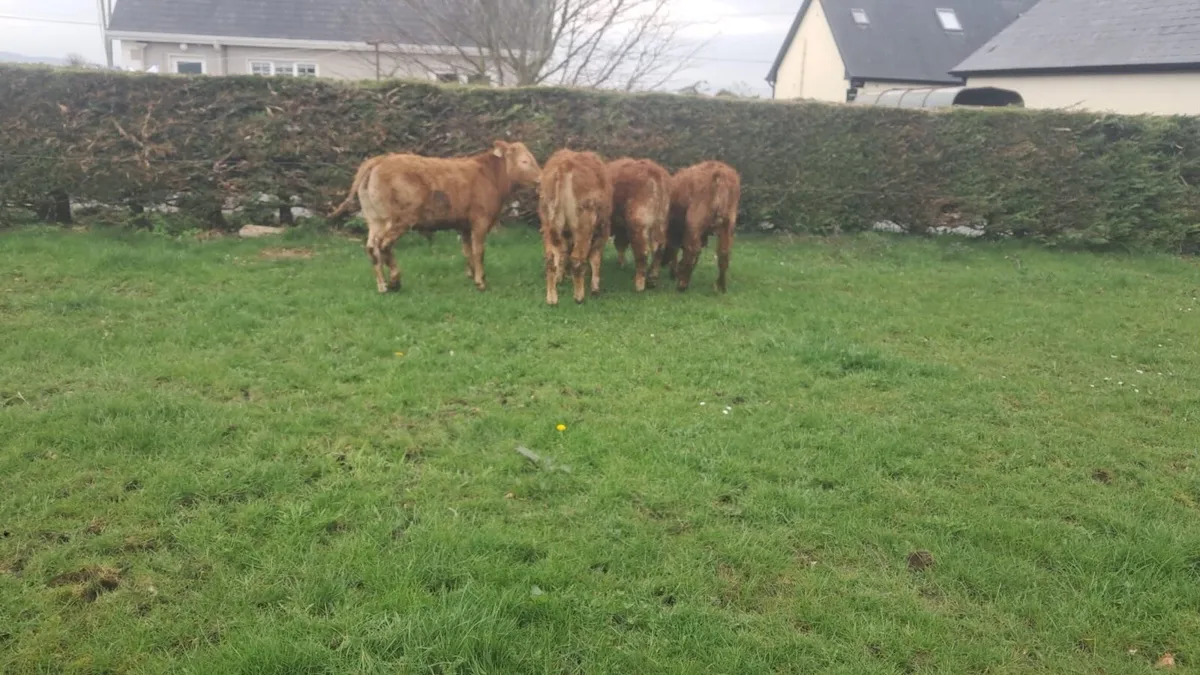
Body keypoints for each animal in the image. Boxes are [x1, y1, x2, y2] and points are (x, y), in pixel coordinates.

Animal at [329, 140, 541, 293]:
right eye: (524, 161)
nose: (540, 179)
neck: (489, 176)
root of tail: (380, 159)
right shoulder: (480, 221)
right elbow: (479, 250)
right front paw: (481, 281)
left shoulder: (464, 225)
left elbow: (467, 251)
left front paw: (472, 274)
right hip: (399, 220)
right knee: (384, 245)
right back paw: (395, 281)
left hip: (375, 220)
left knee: (372, 247)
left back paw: (382, 285)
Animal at [538, 149, 613, 305]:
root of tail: (565, 165)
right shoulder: (602, 231)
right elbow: (596, 257)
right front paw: (595, 288)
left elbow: (563, 253)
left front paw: (560, 277)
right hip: (584, 226)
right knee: (577, 259)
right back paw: (579, 296)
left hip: (548, 223)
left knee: (551, 258)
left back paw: (552, 298)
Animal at [607, 158, 671, 292]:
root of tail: (654, 171)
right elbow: (620, 244)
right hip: (660, 223)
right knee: (659, 249)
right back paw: (652, 279)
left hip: (638, 224)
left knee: (643, 252)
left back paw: (639, 284)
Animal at [662, 161, 741, 293]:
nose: (663, 263)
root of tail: (721, 173)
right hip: (728, 224)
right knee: (723, 252)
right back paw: (720, 286)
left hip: (695, 221)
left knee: (693, 249)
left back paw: (682, 284)